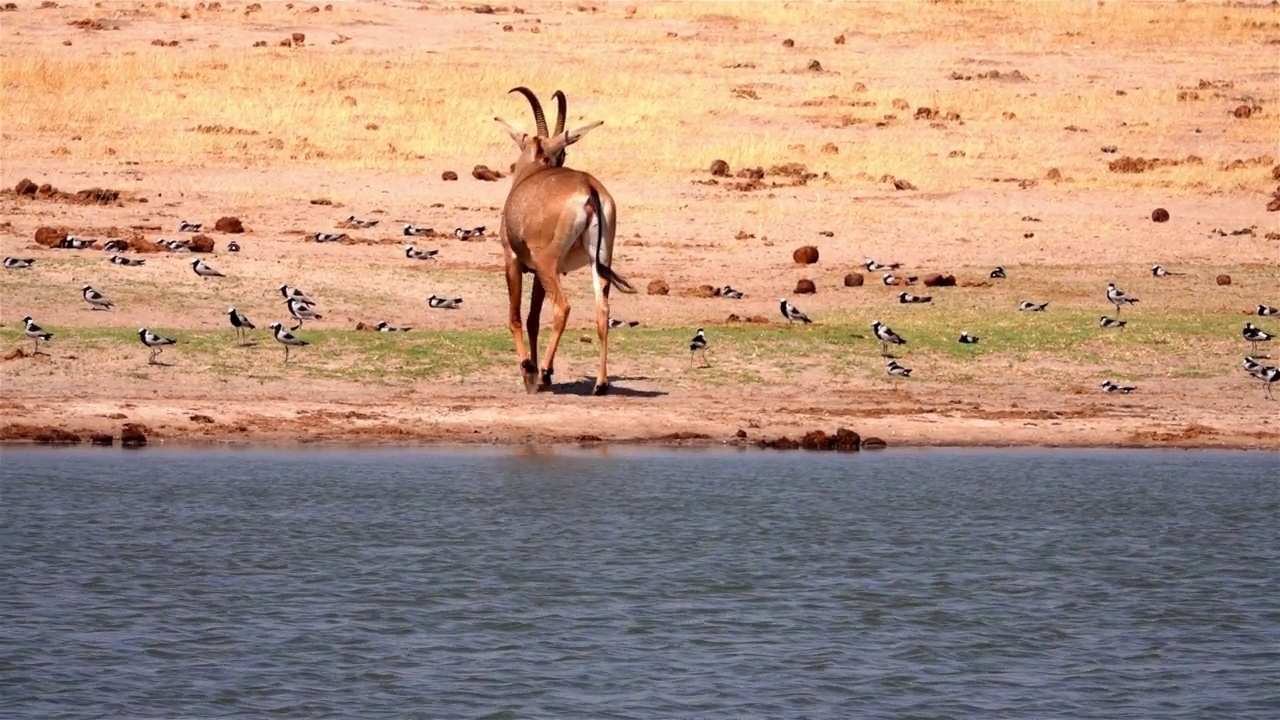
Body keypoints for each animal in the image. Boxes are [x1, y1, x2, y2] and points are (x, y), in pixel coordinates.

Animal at [494, 88, 634, 397]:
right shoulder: (539, 273)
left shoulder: (514, 260)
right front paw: (536, 376)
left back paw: (545, 370)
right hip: (598, 262)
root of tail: (588, 189)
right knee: (602, 311)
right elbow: (533, 319)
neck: (532, 172)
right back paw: (600, 384)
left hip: (549, 265)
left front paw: (530, 371)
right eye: (562, 152)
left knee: (563, 307)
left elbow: (516, 316)